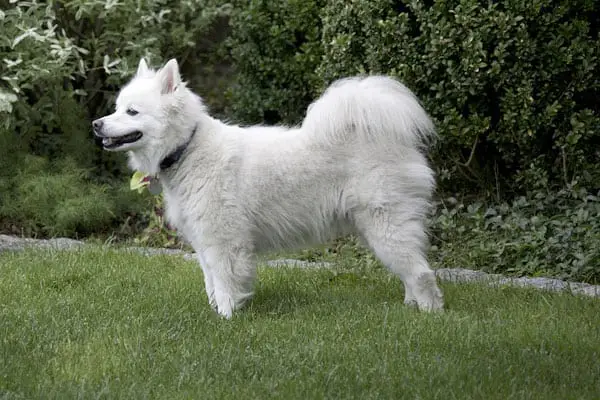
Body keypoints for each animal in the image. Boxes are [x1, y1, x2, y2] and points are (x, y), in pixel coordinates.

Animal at [92, 57, 440, 318]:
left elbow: (225, 284)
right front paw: (215, 312)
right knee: (411, 272)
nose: (96, 124)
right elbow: (210, 282)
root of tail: (393, 140)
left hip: (386, 227)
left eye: (132, 111)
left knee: (422, 274)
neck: (188, 148)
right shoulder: (204, 244)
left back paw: (429, 313)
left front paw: (226, 319)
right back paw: (410, 305)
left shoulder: (224, 242)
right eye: (117, 107)